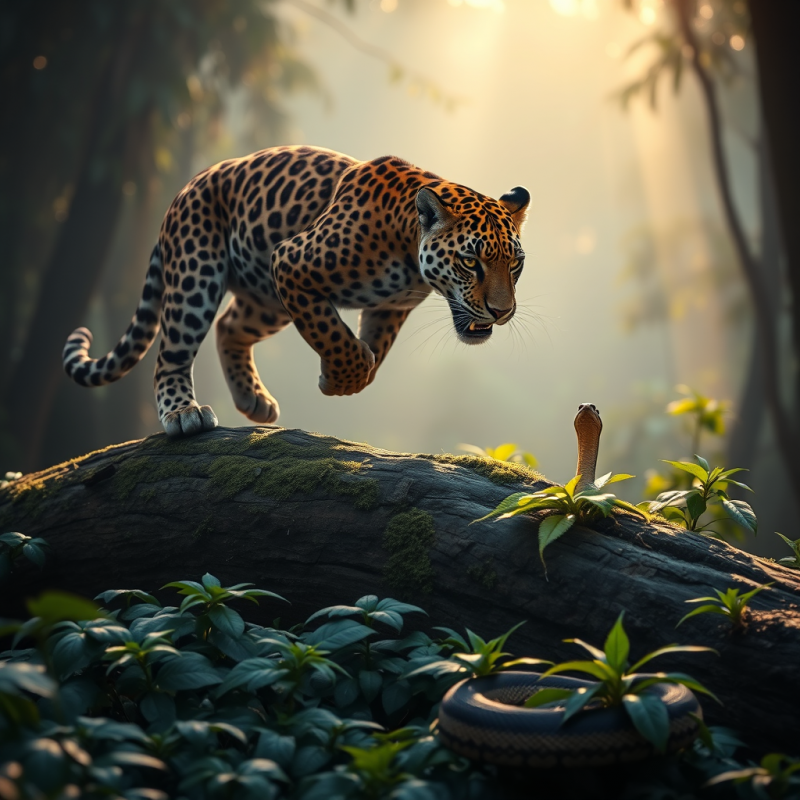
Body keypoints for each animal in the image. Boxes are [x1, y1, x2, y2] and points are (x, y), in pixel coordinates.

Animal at [63, 145, 530, 437]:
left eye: (515, 264)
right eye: (470, 261)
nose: (502, 311)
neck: (406, 241)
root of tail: (186, 188)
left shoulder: (389, 308)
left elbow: (374, 351)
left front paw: (349, 376)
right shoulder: (291, 260)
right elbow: (336, 337)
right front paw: (338, 378)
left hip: (267, 300)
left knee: (229, 326)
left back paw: (253, 400)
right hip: (197, 275)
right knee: (172, 353)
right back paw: (183, 414)